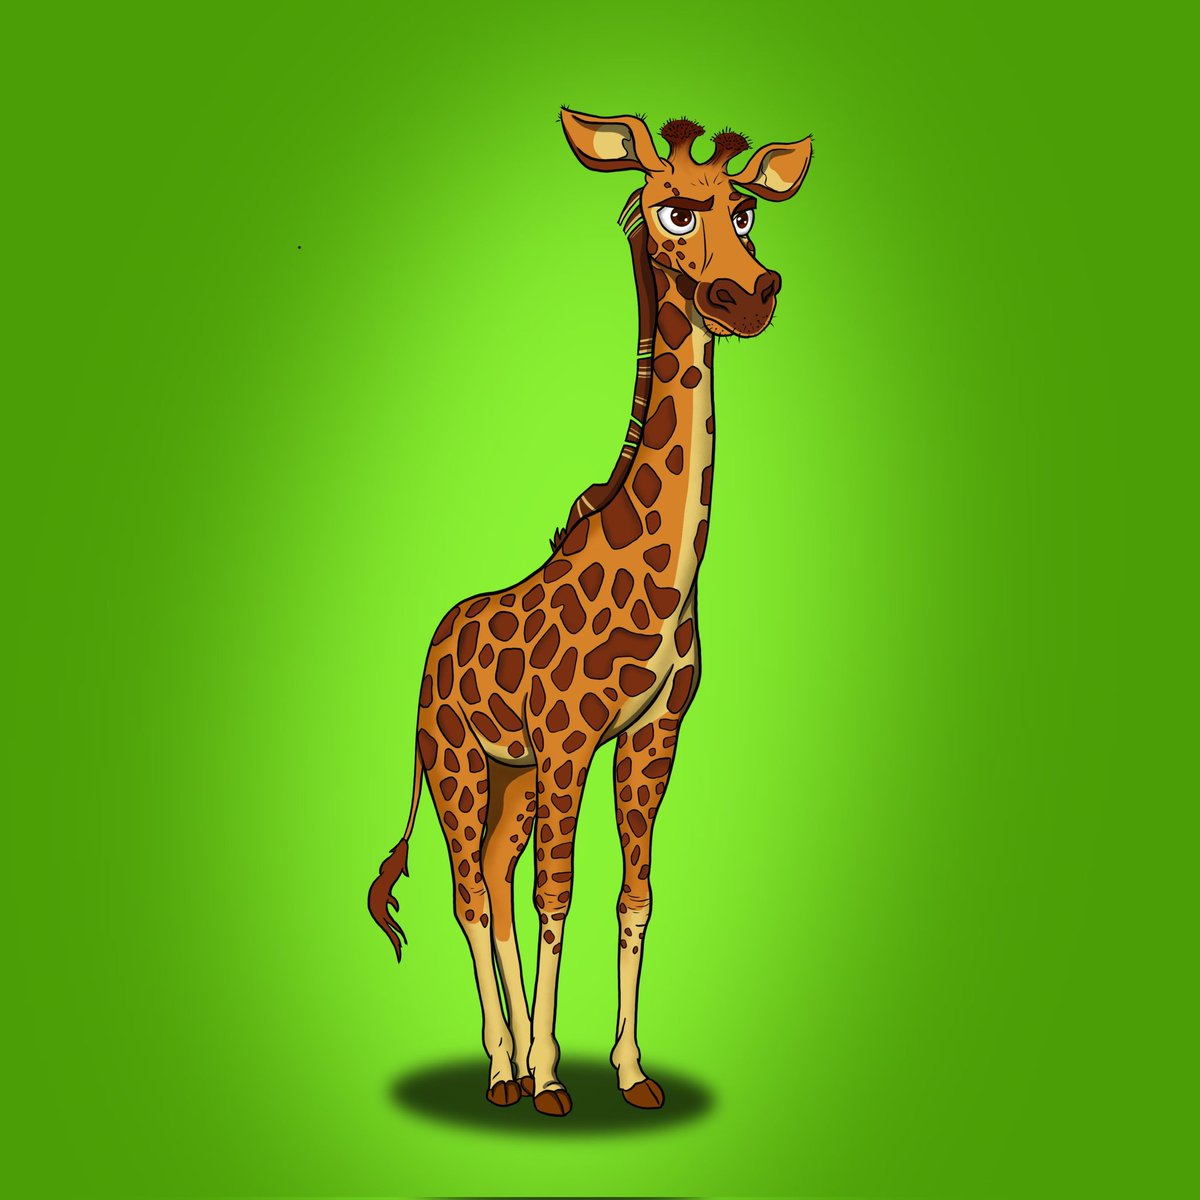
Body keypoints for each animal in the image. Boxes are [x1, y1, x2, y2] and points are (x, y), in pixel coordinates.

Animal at [368, 108, 812, 1117]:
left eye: (746, 211)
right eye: (674, 211)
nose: (750, 295)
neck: (664, 580)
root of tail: (431, 643)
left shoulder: (652, 734)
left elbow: (632, 895)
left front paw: (630, 1072)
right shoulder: (571, 736)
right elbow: (558, 896)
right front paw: (548, 1078)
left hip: (511, 776)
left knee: (493, 880)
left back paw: (509, 1063)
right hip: (456, 762)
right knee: (469, 891)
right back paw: (505, 1069)